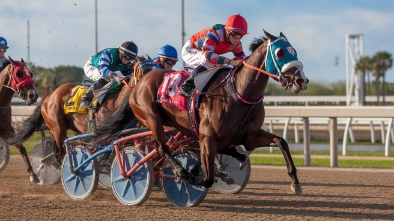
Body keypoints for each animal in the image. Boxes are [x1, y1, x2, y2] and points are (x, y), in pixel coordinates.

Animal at [94, 30, 308, 195]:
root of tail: (138, 84)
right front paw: (191, 176)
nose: (301, 81)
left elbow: (281, 141)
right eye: (280, 52)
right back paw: (177, 172)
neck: (238, 92)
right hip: (152, 118)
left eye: (294, 51)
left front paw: (295, 183)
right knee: (162, 148)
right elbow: (207, 178)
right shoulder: (208, 137)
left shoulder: (250, 136)